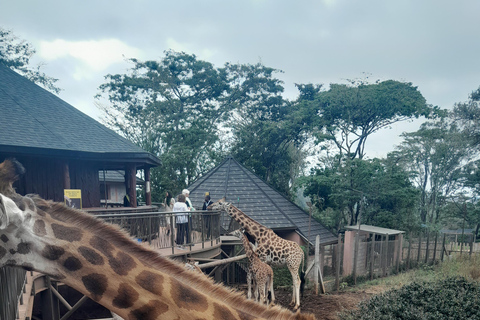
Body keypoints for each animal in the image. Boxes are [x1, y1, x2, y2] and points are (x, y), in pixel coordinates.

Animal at [0, 159, 316, 320]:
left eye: (218, 205)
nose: (211, 205)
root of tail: (302, 249)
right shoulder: (260, 262)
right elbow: (258, 285)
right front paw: (268, 301)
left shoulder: (259, 262)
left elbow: (256, 285)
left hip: (291, 264)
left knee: (296, 280)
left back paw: (296, 303)